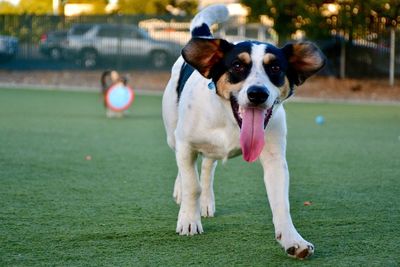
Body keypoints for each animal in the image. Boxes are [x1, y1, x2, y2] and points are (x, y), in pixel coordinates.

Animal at [162, 4, 324, 260]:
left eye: (275, 68)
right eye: (238, 66)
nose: (257, 93)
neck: (229, 120)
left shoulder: (275, 159)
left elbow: (281, 202)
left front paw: (292, 239)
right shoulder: (186, 143)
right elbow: (191, 184)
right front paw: (188, 219)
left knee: (207, 167)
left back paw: (206, 202)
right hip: (172, 133)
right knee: (184, 165)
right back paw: (182, 193)